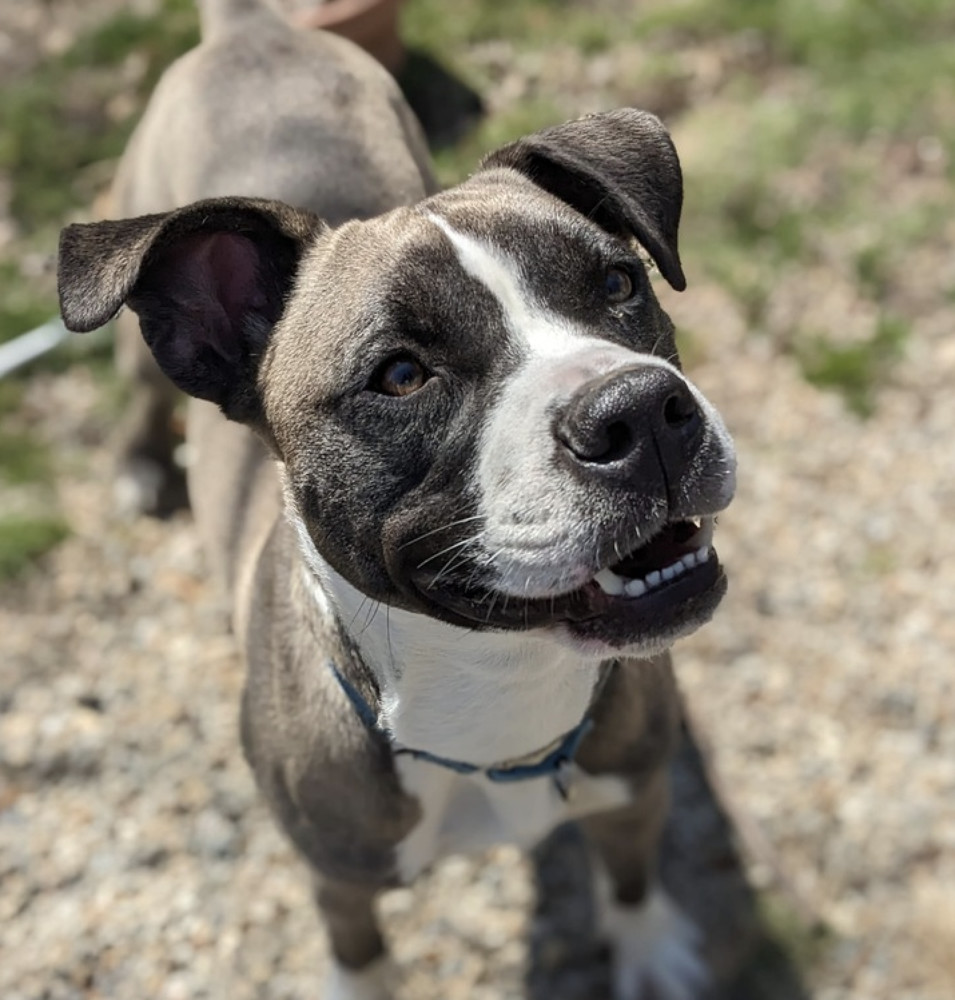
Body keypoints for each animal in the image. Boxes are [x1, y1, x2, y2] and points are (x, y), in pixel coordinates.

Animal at [56, 3, 736, 996]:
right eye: (401, 375)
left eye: (617, 283)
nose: (641, 411)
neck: (498, 702)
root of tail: (249, 30)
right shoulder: (337, 878)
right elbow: (361, 955)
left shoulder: (631, 789)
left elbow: (630, 873)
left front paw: (648, 952)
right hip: (131, 335)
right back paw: (142, 467)